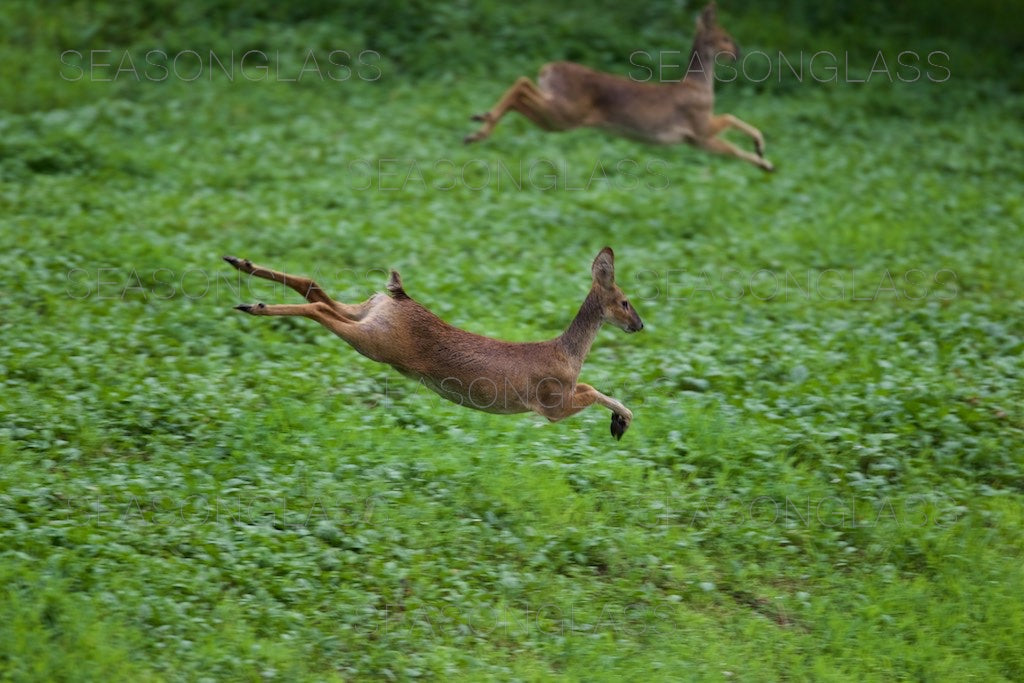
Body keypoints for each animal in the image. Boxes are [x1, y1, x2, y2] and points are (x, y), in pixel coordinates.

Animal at [227, 248, 643, 440]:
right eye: (624, 301)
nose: (639, 324)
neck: (568, 353)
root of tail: (399, 297)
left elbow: (592, 387)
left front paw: (619, 422)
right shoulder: (552, 405)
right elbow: (591, 390)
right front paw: (621, 422)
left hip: (369, 316)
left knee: (315, 289)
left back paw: (239, 265)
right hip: (376, 343)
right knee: (317, 306)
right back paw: (252, 304)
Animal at [460, 1, 770, 171]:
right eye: (725, 37)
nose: (739, 51)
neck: (698, 84)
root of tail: (548, 70)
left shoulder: (696, 140)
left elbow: (732, 143)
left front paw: (765, 163)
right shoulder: (700, 127)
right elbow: (730, 121)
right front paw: (762, 152)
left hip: (558, 113)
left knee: (522, 91)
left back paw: (478, 125)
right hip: (565, 113)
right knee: (522, 85)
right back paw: (480, 126)